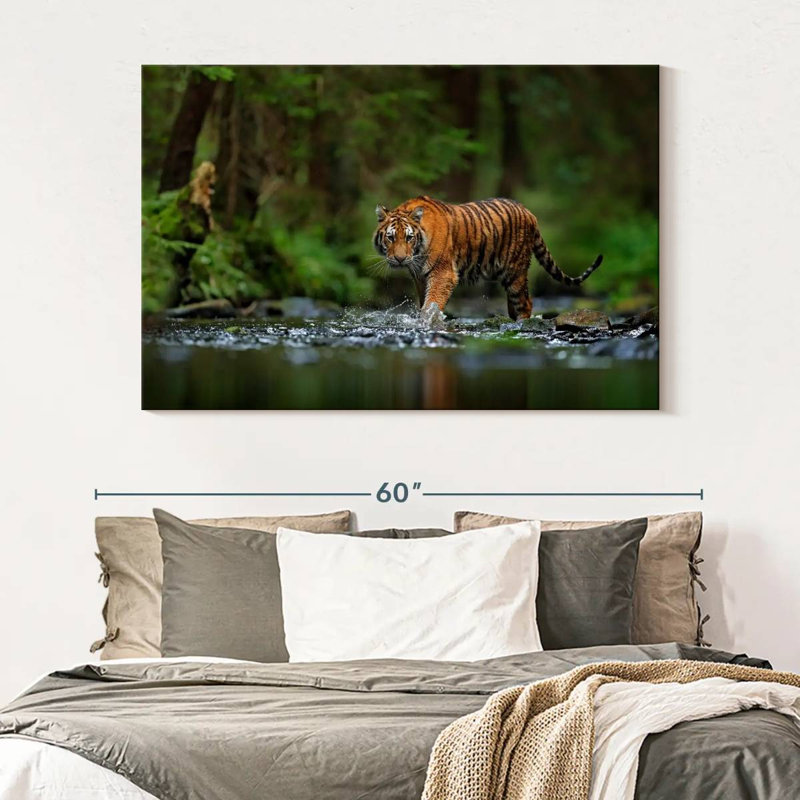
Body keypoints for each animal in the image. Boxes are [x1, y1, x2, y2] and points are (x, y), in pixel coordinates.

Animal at [372, 196, 603, 320]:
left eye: (409, 237)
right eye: (391, 238)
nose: (400, 259)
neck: (418, 254)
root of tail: (529, 213)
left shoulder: (443, 273)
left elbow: (432, 303)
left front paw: (428, 321)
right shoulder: (420, 277)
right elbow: (424, 302)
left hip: (515, 272)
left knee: (525, 303)